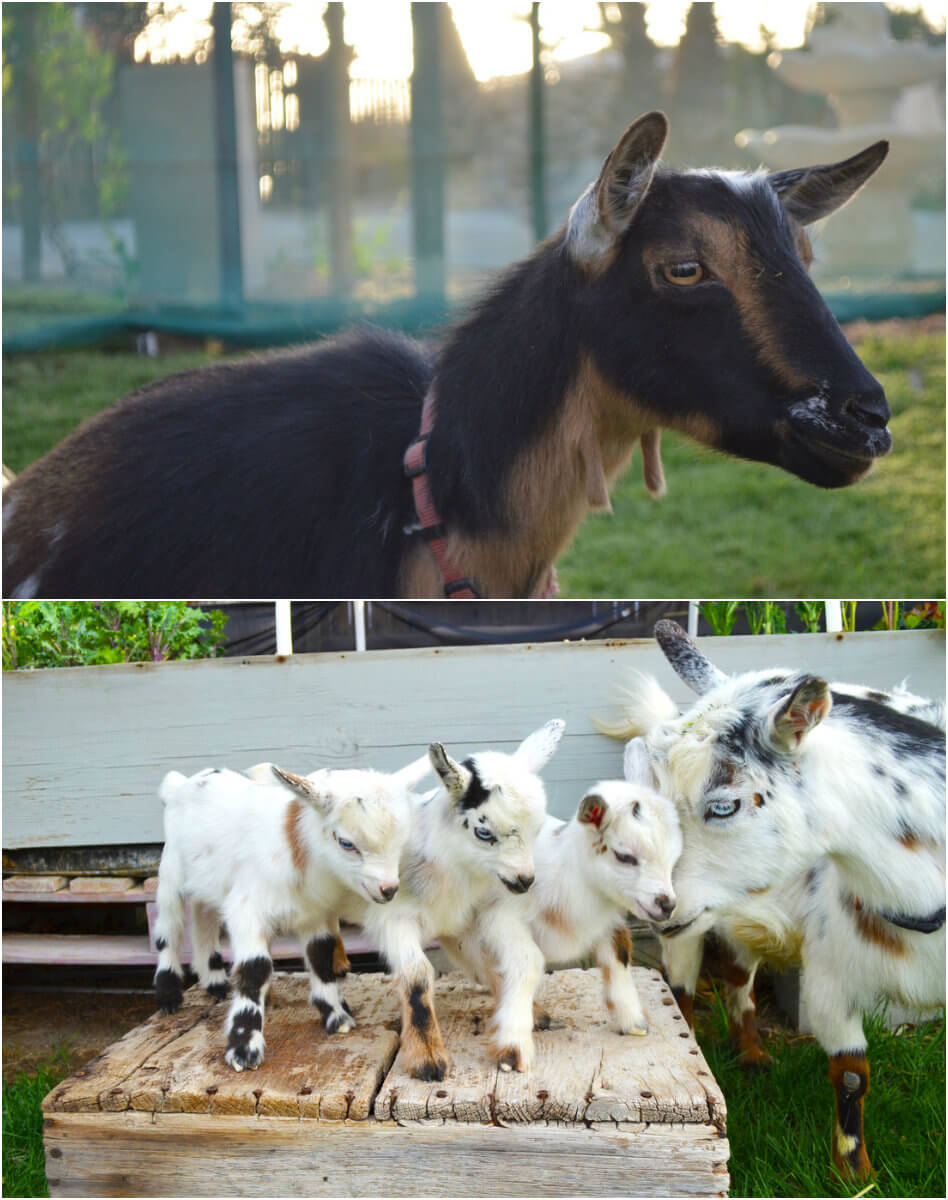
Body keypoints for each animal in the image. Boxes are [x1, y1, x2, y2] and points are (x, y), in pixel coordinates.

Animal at [154, 754, 430, 1071]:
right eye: (346, 843)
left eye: (401, 840)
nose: (388, 889)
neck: (295, 845)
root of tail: (181, 783)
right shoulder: (247, 908)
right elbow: (255, 968)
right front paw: (244, 1048)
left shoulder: (315, 912)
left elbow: (321, 956)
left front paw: (336, 1016)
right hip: (170, 872)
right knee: (169, 929)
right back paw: (168, 995)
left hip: (207, 882)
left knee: (204, 917)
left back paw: (214, 983)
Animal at [446, 778, 682, 1038]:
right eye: (624, 856)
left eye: (673, 859)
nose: (667, 905)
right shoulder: (500, 915)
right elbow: (527, 961)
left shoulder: (606, 921)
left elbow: (619, 954)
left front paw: (633, 1021)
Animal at [603, 620, 945, 1181]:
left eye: (724, 805)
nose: (645, 901)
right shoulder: (832, 976)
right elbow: (851, 1073)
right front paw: (855, 1176)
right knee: (684, 987)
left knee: (740, 972)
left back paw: (753, 1055)